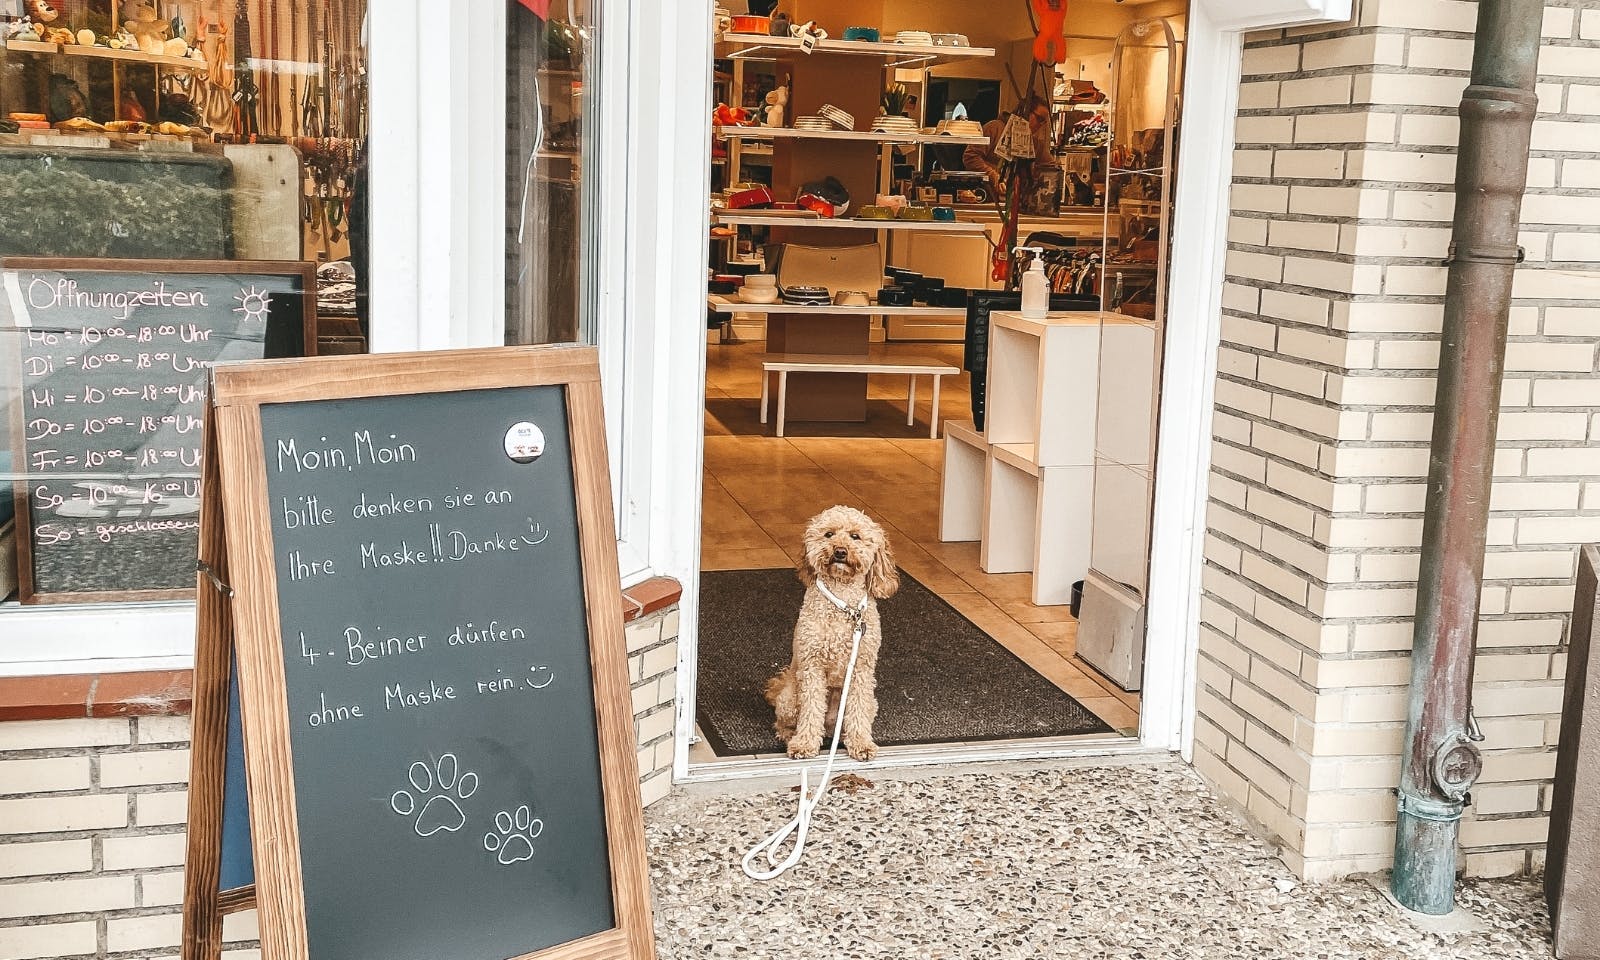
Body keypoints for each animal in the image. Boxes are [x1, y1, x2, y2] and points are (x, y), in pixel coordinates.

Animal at [764, 505, 902, 761]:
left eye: (855, 536)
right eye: (828, 534)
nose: (840, 551)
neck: (843, 604)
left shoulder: (861, 669)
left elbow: (857, 711)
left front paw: (861, 743)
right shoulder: (813, 666)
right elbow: (811, 709)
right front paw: (805, 744)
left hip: (872, 702)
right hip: (789, 700)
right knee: (785, 721)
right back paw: (790, 735)